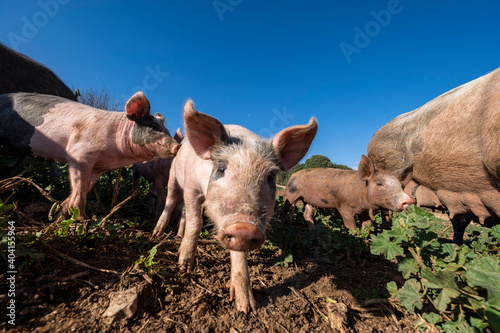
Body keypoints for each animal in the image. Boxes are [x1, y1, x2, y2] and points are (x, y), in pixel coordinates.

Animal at [0, 91, 180, 217]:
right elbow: (79, 187)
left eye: (166, 130)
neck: (115, 156)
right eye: (153, 128)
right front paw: (81, 219)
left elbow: (86, 187)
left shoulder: (98, 167)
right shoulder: (79, 155)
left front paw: (62, 212)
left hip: (14, 150)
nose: (178, 146)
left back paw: (9, 199)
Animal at [150, 100, 318, 312]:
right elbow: (195, 222)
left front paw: (246, 307)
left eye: (270, 177)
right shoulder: (190, 187)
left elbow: (238, 252)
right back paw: (158, 233)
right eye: (221, 168)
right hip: (173, 175)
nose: (244, 226)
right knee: (172, 200)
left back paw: (178, 234)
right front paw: (184, 267)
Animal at [282, 155, 414, 228]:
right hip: (289, 193)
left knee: (307, 214)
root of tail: (293, 175)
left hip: (308, 201)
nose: (409, 200)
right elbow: (351, 227)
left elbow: (367, 227)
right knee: (284, 208)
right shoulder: (344, 209)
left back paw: (313, 231)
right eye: (380, 183)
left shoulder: (364, 213)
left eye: (401, 185)